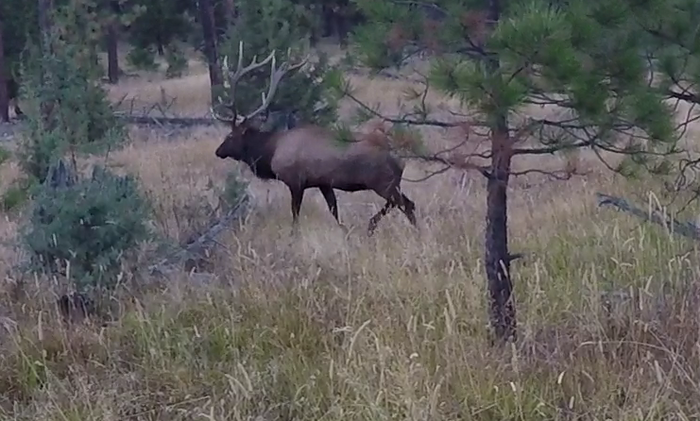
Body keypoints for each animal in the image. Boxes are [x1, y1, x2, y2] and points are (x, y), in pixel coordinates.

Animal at [210, 42, 418, 236]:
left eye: (230, 135)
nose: (218, 151)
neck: (271, 151)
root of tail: (400, 158)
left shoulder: (295, 181)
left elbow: (295, 214)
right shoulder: (323, 183)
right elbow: (334, 211)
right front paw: (345, 232)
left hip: (383, 182)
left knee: (406, 204)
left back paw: (377, 225)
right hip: (392, 184)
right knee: (406, 204)